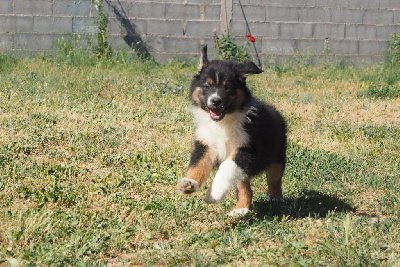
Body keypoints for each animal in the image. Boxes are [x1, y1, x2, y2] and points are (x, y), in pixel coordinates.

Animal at [177, 45, 286, 218]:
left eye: (228, 87)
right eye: (207, 86)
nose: (215, 101)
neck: (222, 123)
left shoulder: (247, 149)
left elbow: (226, 167)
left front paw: (213, 194)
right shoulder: (205, 145)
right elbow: (197, 166)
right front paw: (189, 184)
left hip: (278, 152)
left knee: (274, 176)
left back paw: (275, 197)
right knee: (244, 186)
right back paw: (240, 209)